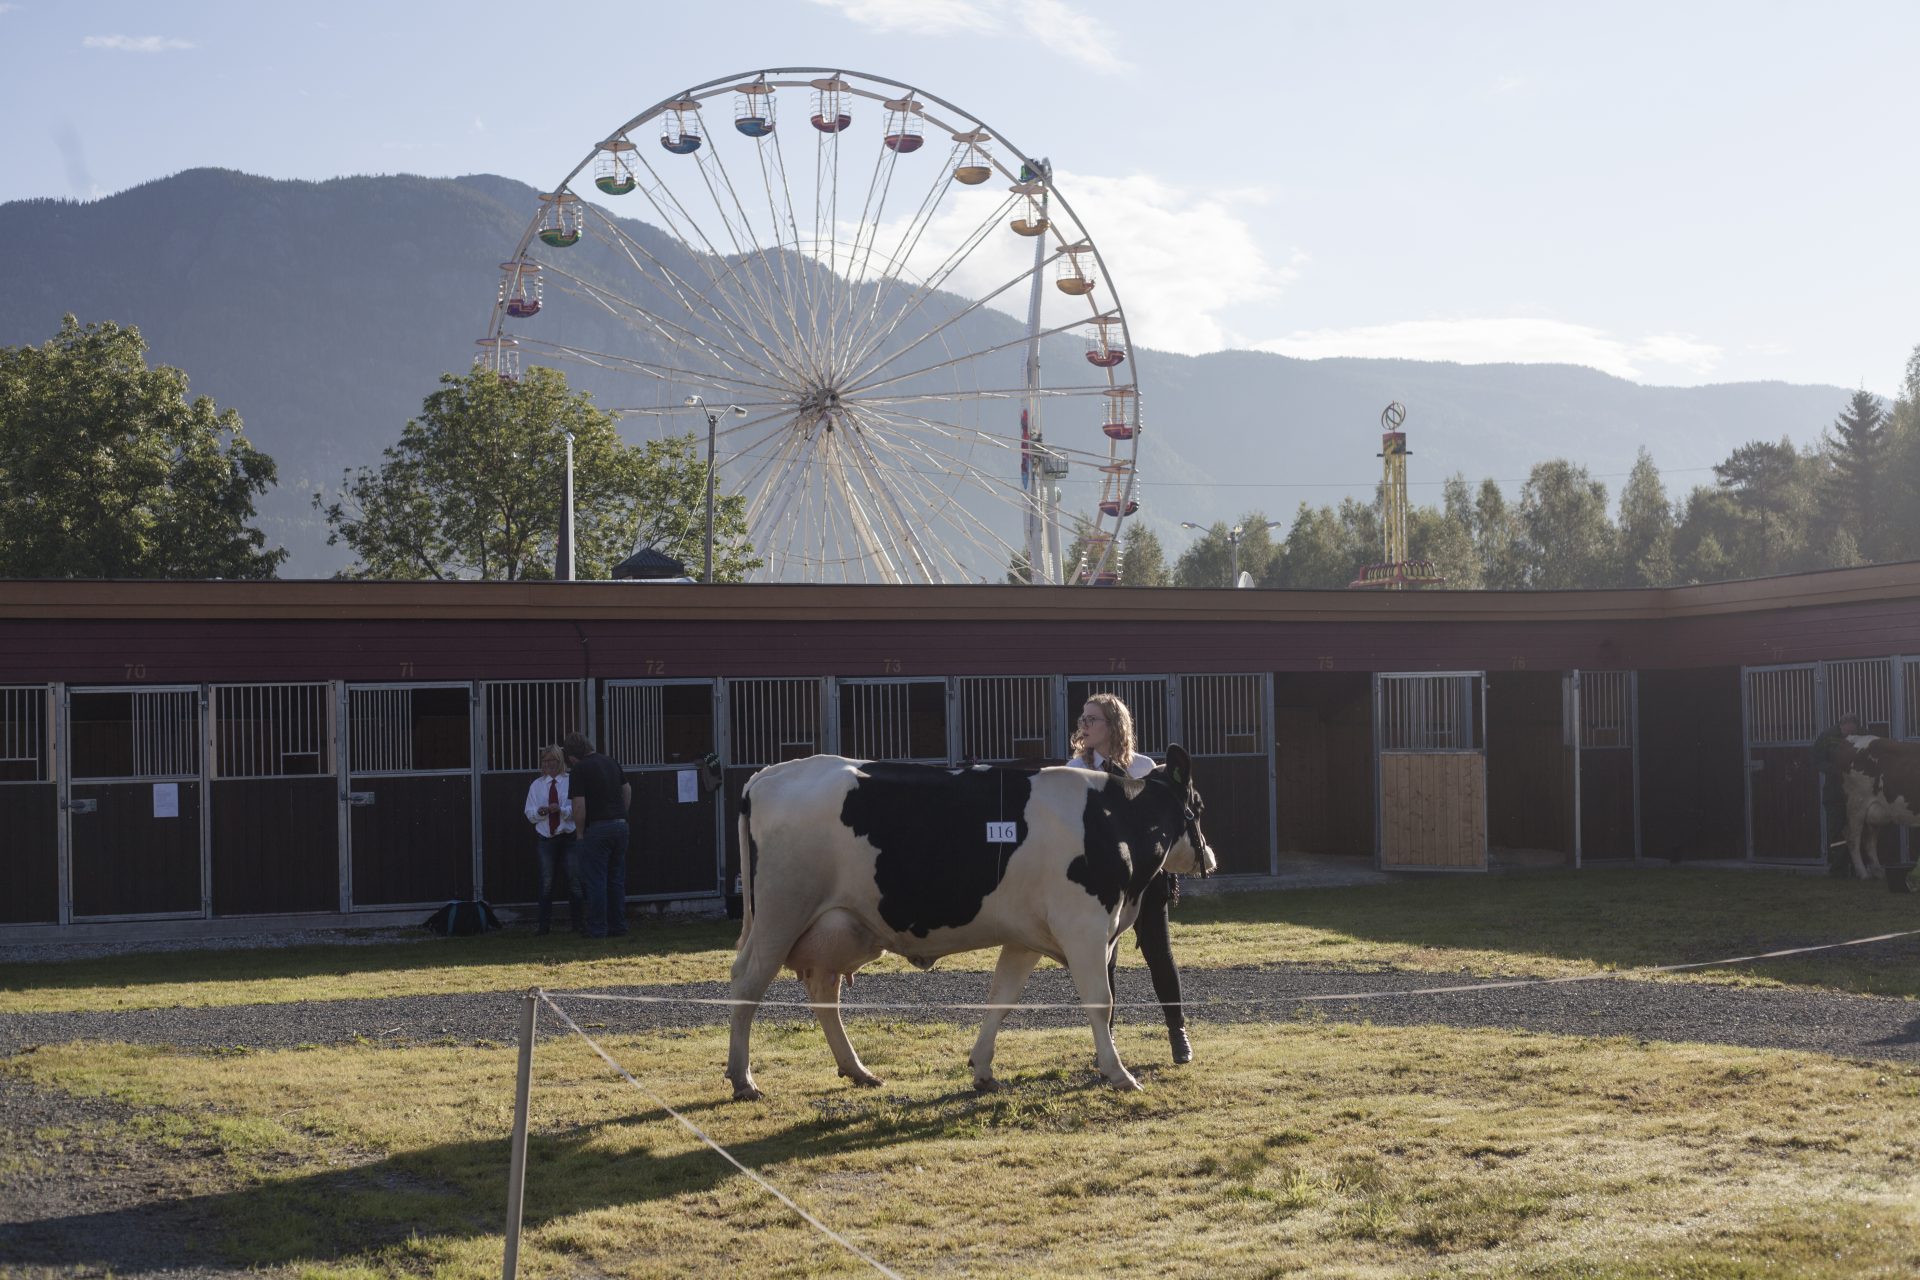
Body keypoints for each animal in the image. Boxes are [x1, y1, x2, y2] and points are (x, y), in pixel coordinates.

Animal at [725, 752, 1205, 1105]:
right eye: (1198, 806)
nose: (1211, 857)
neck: (1111, 821)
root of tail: (769, 774)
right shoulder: (1084, 926)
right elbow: (1100, 1002)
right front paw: (1119, 1073)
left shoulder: (1025, 937)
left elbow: (1002, 999)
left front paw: (983, 1070)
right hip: (780, 914)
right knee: (747, 983)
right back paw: (743, 1079)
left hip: (833, 924)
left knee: (823, 990)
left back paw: (858, 1070)